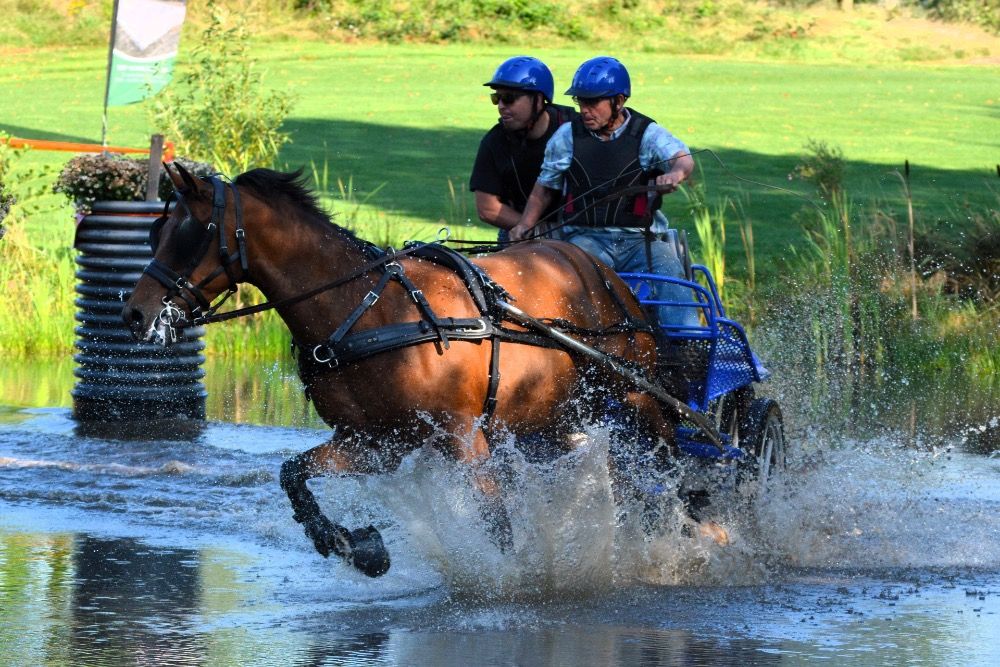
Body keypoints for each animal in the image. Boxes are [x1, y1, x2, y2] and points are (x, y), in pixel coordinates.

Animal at [122, 163, 679, 578]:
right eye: (155, 230)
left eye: (192, 231)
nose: (134, 314)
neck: (365, 310)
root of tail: (599, 270)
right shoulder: (374, 442)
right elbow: (293, 475)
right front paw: (353, 544)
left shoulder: (462, 437)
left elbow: (495, 522)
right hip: (553, 417)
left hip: (640, 400)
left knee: (667, 471)